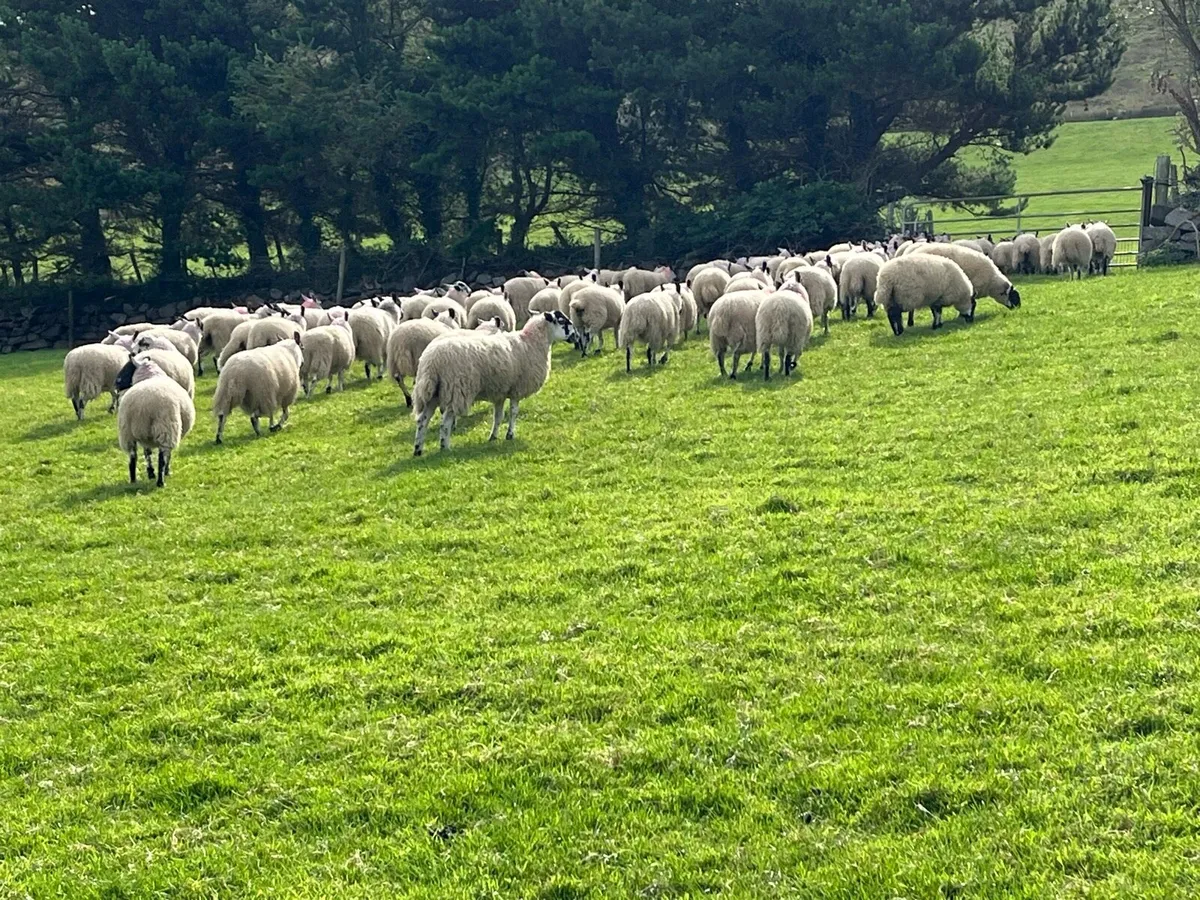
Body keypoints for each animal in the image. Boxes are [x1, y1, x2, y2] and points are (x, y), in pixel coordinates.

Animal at [114, 354, 195, 487]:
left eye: (127, 367)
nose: (116, 383)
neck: (152, 375)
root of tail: (142, 406)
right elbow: (167, 455)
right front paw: (165, 472)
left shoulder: (145, 437)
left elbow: (147, 453)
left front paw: (150, 473)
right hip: (166, 428)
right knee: (162, 456)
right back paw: (161, 481)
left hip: (128, 432)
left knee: (133, 457)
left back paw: (133, 480)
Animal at [411, 311, 576, 455]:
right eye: (562, 321)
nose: (575, 336)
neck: (531, 342)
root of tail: (431, 361)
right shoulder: (516, 389)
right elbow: (513, 412)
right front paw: (510, 435)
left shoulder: (500, 392)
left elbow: (498, 416)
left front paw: (493, 437)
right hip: (456, 390)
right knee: (444, 422)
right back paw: (445, 447)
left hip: (433, 393)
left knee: (422, 421)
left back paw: (418, 450)